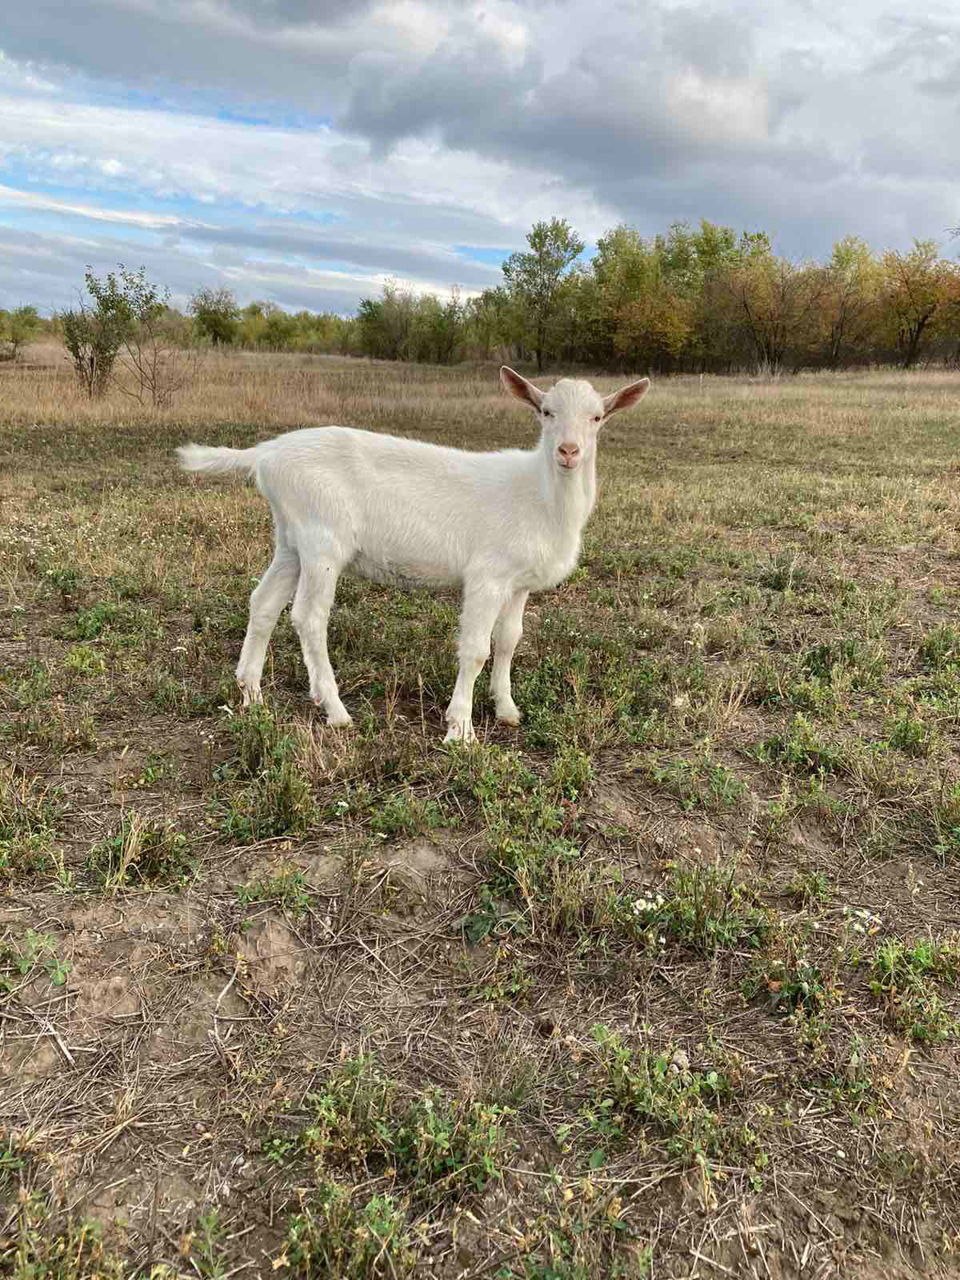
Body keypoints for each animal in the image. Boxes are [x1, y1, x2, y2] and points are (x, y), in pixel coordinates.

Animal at [176, 363, 650, 742]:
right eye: (546, 411)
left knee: (264, 603)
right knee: (309, 617)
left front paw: (507, 709)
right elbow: (476, 648)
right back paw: (335, 710)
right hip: (322, 539)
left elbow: (509, 640)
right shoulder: (487, 575)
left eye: (597, 417)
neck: (539, 495)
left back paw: (251, 693)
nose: (568, 451)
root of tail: (265, 453)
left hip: (291, 538)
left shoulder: (519, 583)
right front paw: (460, 730)